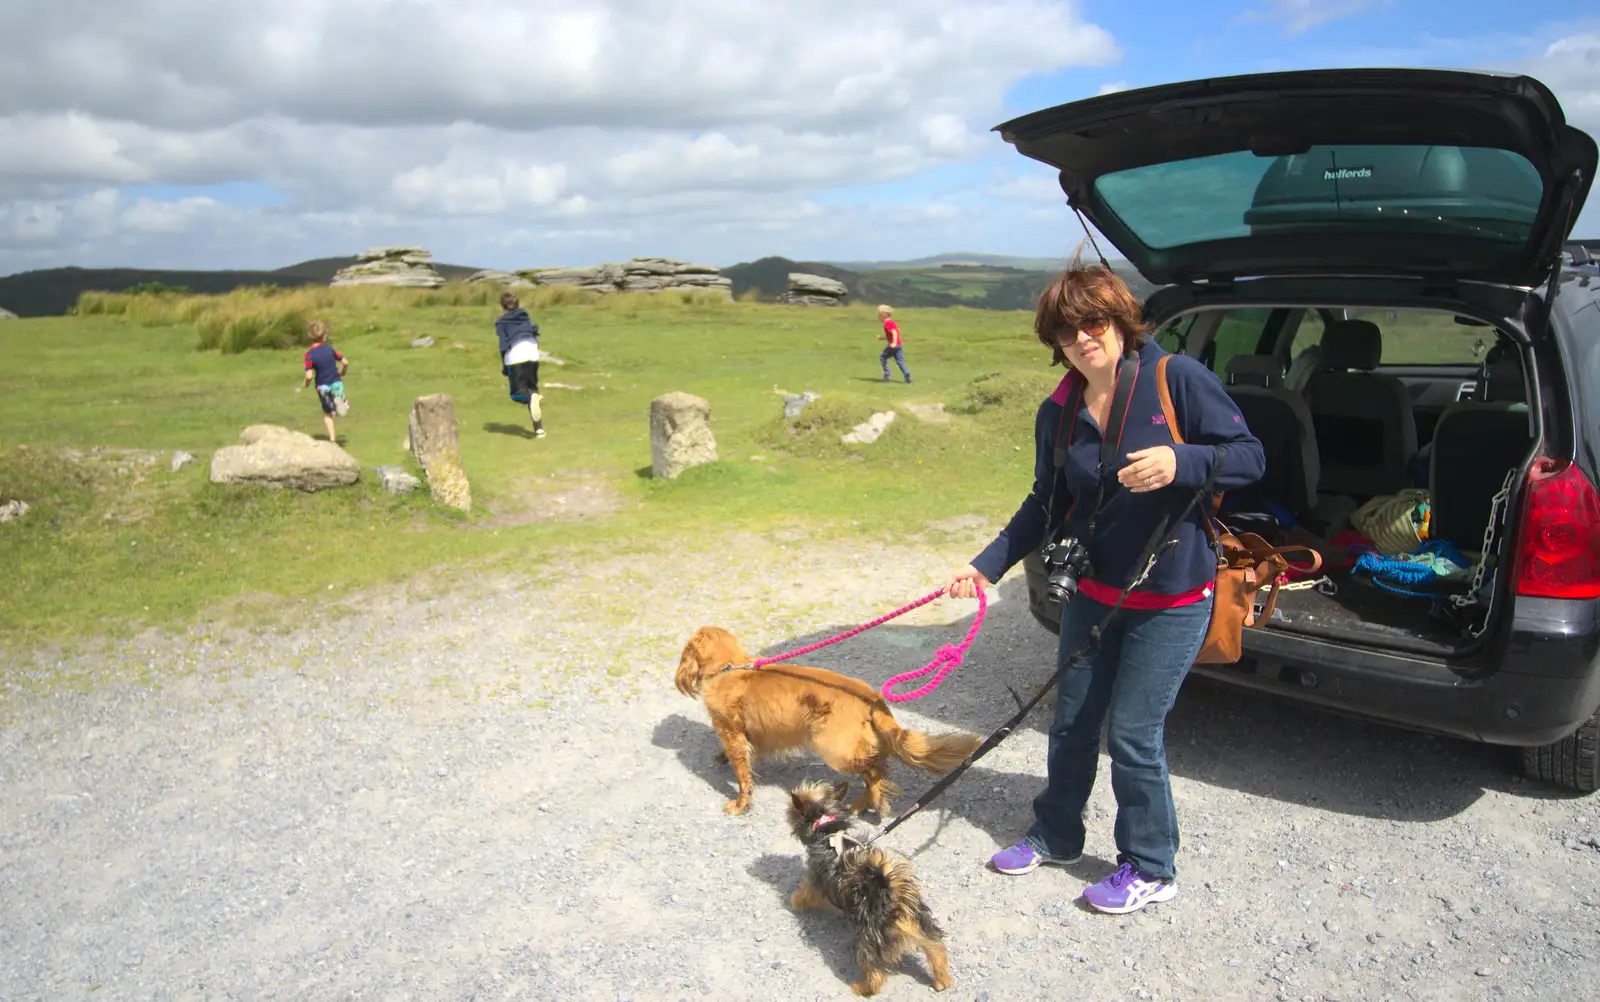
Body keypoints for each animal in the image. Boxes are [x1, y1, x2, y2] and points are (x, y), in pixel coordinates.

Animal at [672, 621, 979, 816]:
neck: (729, 668)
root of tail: (871, 698)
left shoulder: (731, 732)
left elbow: (743, 777)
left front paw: (739, 805)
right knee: (877, 767)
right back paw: (860, 805)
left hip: (833, 749)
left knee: (875, 770)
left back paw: (875, 801)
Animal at [784, 781, 947, 992]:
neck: (827, 829)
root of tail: (895, 901)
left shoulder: (815, 878)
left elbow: (806, 894)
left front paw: (795, 901)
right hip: (922, 924)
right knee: (936, 948)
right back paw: (942, 979)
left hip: (868, 939)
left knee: (875, 973)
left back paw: (862, 988)